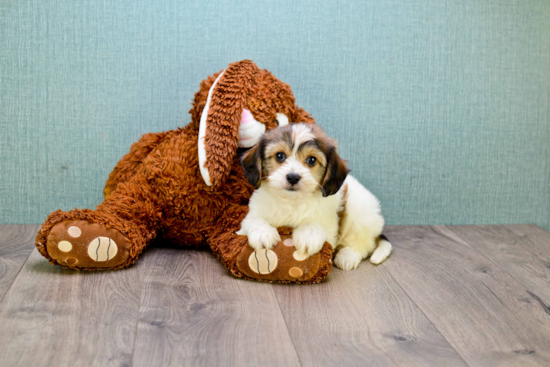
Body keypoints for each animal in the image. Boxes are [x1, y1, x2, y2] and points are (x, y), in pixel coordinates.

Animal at [239, 123, 394, 270]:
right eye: (279, 156)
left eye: (312, 160)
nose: (293, 177)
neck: (292, 201)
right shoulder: (248, 220)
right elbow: (254, 221)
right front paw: (262, 233)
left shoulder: (330, 227)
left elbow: (316, 225)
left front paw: (309, 235)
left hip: (360, 215)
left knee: (363, 245)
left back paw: (347, 256)